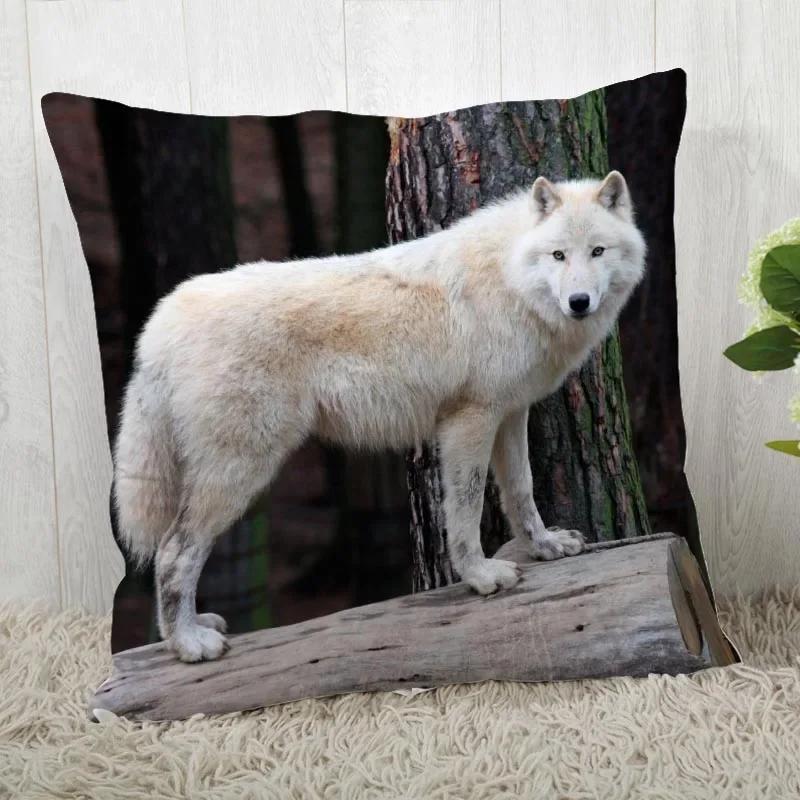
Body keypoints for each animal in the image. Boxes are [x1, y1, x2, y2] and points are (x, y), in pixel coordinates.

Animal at [114, 170, 646, 662]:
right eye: (558, 256)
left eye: (597, 251)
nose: (579, 302)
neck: (510, 279)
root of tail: (162, 320)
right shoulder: (469, 420)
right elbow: (466, 509)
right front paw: (480, 577)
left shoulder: (510, 413)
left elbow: (521, 491)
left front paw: (545, 546)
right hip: (241, 471)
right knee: (172, 552)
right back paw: (187, 643)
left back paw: (194, 627)